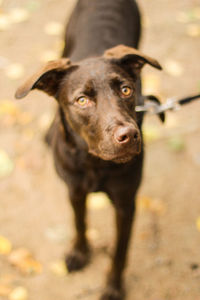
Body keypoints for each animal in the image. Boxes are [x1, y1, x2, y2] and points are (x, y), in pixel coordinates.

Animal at [16, 1, 162, 298]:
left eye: (126, 90)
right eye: (82, 100)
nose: (129, 135)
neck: (95, 162)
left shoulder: (126, 203)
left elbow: (120, 252)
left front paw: (113, 287)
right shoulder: (74, 190)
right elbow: (80, 223)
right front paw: (79, 254)